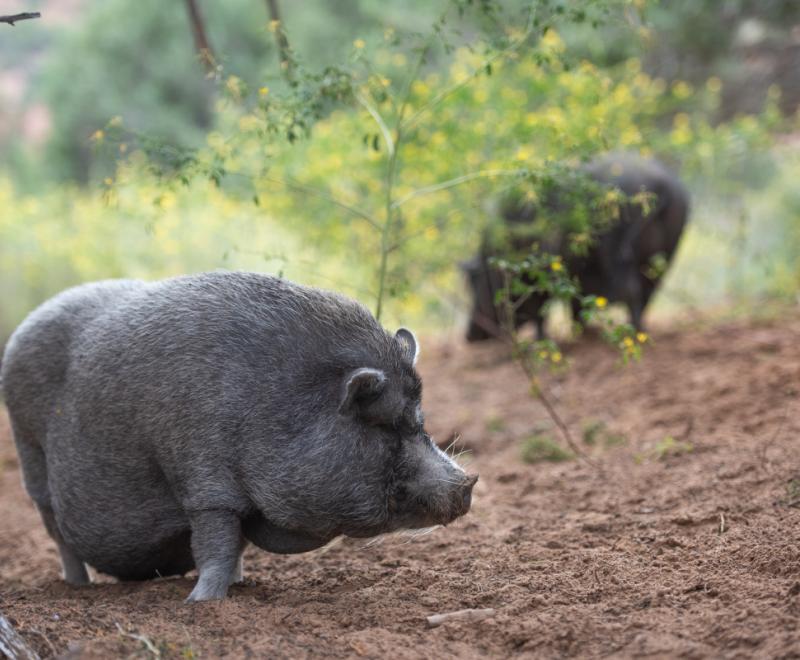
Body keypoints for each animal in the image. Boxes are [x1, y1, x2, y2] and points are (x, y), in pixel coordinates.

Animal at [1, 270, 476, 600]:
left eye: (419, 419)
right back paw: (78, 588)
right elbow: (218, 542)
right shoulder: (205, 483)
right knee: (57, 532)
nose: (467, 482)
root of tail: (23, 327)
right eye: (382, 423)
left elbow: (239, 545)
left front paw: (240, 586)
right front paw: (202, 603)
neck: (276, 403)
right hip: (30, 457)